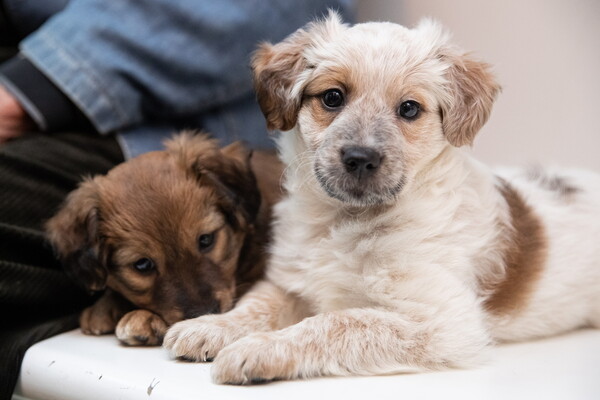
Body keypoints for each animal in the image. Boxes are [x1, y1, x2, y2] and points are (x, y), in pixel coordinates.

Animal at [163, 12, 600, 382]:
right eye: (332, 97)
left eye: (409, 108)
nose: (360, 158)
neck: (348, 221)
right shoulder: (290, 282)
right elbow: (256, 305)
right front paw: (210, 327)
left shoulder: (440, 321)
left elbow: (336, 322)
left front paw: (257, 350)